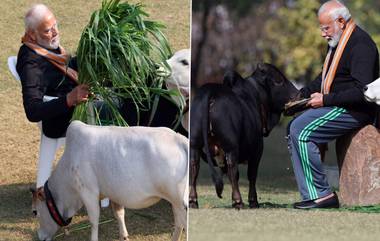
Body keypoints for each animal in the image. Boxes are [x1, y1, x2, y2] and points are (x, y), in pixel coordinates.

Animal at [31, 121, 189, 240]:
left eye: (35, 212)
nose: (40, 236)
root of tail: (180, 139)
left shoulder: (88, 192)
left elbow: (94, 221)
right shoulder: (114, 193)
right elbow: (119, 213)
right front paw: (124, 236)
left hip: (180, 201)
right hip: (176, 203)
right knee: (179, 223)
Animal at [189, 62, 296, 209]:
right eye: (278, 81)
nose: (298, 93)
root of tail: (211, 91)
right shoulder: (257, 151)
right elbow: (251, 175)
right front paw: (253, 201)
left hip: (195, 145)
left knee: (194, 167)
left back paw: (193, 201)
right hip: (231, 146)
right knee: (232, 169)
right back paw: (238, 201)